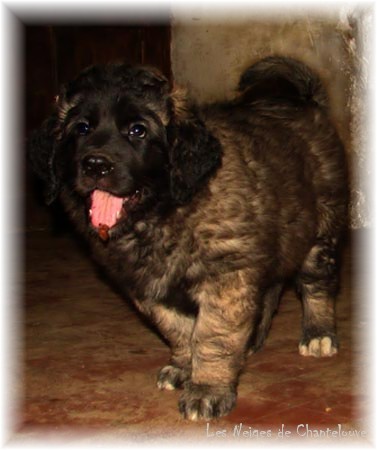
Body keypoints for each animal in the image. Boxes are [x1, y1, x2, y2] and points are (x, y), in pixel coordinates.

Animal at [30, 55, 350, 418]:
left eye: (138, 130)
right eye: (81, 128)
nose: (96, 165)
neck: (163, 211)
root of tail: (307, 103)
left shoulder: (226, 276)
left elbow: (212, 335)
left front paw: (207, 388)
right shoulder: (150, 286)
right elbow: (179, 330)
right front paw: (185, 367)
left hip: (321, 231)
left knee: (316, 285)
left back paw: (318, 334)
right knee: (271, 286)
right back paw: (254, 337)